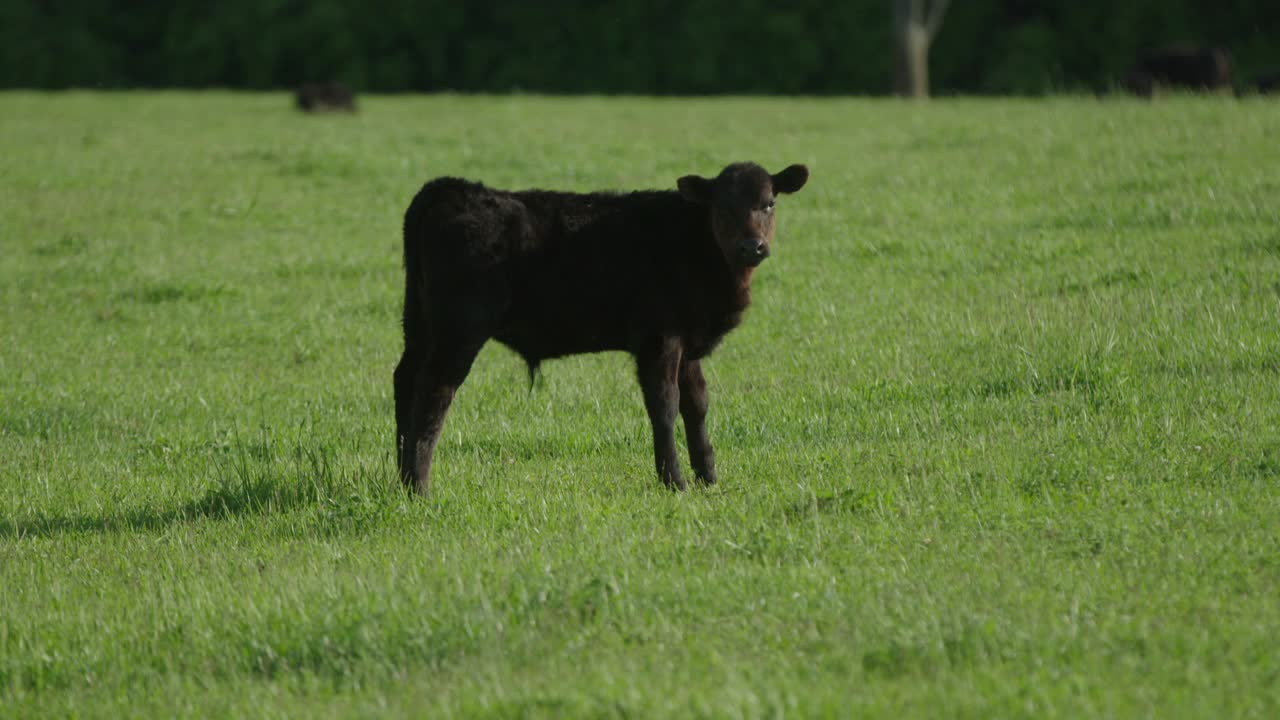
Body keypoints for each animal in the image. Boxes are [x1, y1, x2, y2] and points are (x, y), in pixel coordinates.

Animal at [394, 161, 808, 491]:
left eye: (769, 203)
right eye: (723, 206)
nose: (752, 247)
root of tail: (451, 188)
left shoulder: (689, 342)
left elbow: (697, 404)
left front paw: (708, 476)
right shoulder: (659, 339)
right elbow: (665, 405)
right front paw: (673, 480)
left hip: (419, 324)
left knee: (405, 380)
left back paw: (401, 476)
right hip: (459, 328)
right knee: (435, 390)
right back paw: (419, 486)